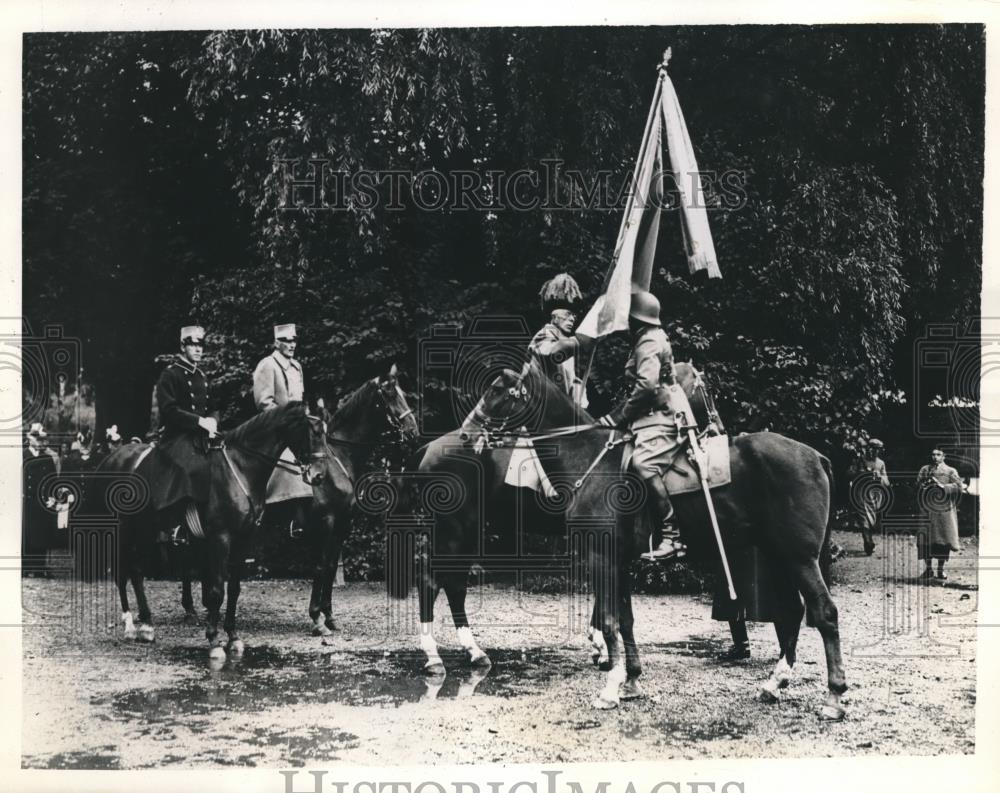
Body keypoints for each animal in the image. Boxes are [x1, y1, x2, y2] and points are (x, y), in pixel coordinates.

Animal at [101, 402, 322, 656]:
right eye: (311, 433)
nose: (319, 476)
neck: (241, 468)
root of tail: (113, 457)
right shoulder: (221, 538)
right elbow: (217, 591)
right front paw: (214, 640)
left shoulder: (243, 539)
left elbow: (234, 589)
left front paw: (233, 637)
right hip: (124, 531)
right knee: (122, 572)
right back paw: (129, 625)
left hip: (146, 530)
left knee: (137, 572)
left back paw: (147, 626)